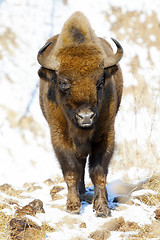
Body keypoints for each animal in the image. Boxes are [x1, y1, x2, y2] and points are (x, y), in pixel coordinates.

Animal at [37, 11, 123, 218]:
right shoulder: (59, 136)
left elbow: (98, 172)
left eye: (99, 82)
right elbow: (71, 170)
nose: (85, 117)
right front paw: (73, 206)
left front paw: (102, 208)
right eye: (63, 82)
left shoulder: (106, 134)